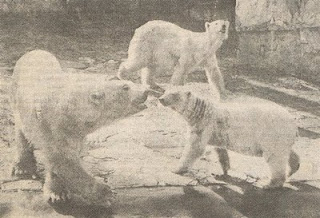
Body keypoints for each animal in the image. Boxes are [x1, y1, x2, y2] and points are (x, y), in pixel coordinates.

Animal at [10, 49, 149, 208]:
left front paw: (57, 191)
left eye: (131, 82)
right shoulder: (51, 126)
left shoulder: (75, 133)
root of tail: (34, 51)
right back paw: (22, 167)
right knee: (21, 131)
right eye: (125, 87)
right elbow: (64, 161)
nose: (146, 91)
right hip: (17, 98)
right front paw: (106, 194)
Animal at [159, 89, 300, 189]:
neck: (201, 110)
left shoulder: (203, 124)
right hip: (282, 137)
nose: (161, 99)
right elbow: (220, 150)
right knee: (288, 153)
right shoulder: (217, 132)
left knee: (275, 157)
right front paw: (224, 170)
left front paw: (176, 169)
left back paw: (269, 183)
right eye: (166, 90)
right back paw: (292, 169)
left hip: (273, 134)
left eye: (174, 94)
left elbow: (195, 147)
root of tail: (293, 122)